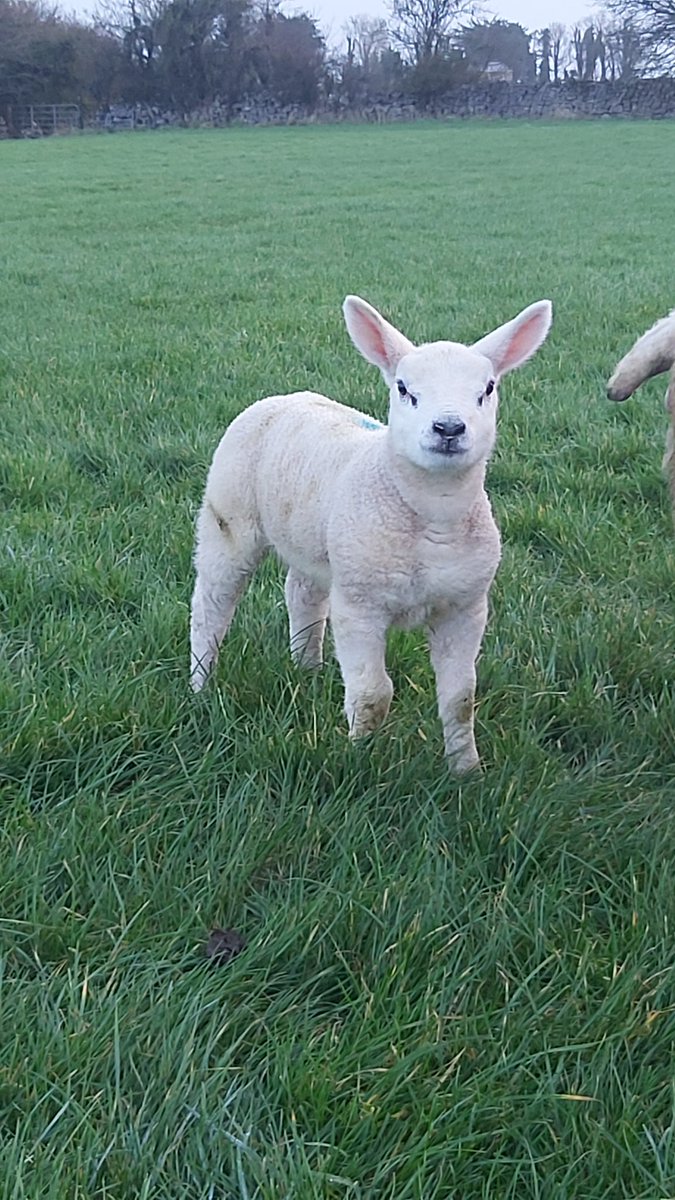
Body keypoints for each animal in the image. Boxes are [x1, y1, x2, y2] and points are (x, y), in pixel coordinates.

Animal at [190, 295, 552, 773]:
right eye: (404, 389)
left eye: (487, 389)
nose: (449, 428)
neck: (434, 516)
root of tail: (286, 396)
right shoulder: (360, 606)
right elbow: (373, 694)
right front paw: (361, 756)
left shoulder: (465, 607)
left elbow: (460, 699)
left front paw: (466, 770)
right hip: (229, 517)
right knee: (212, 604)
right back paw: (200, 683)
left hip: (319, 539)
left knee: (303, 593)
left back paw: (307, 666)